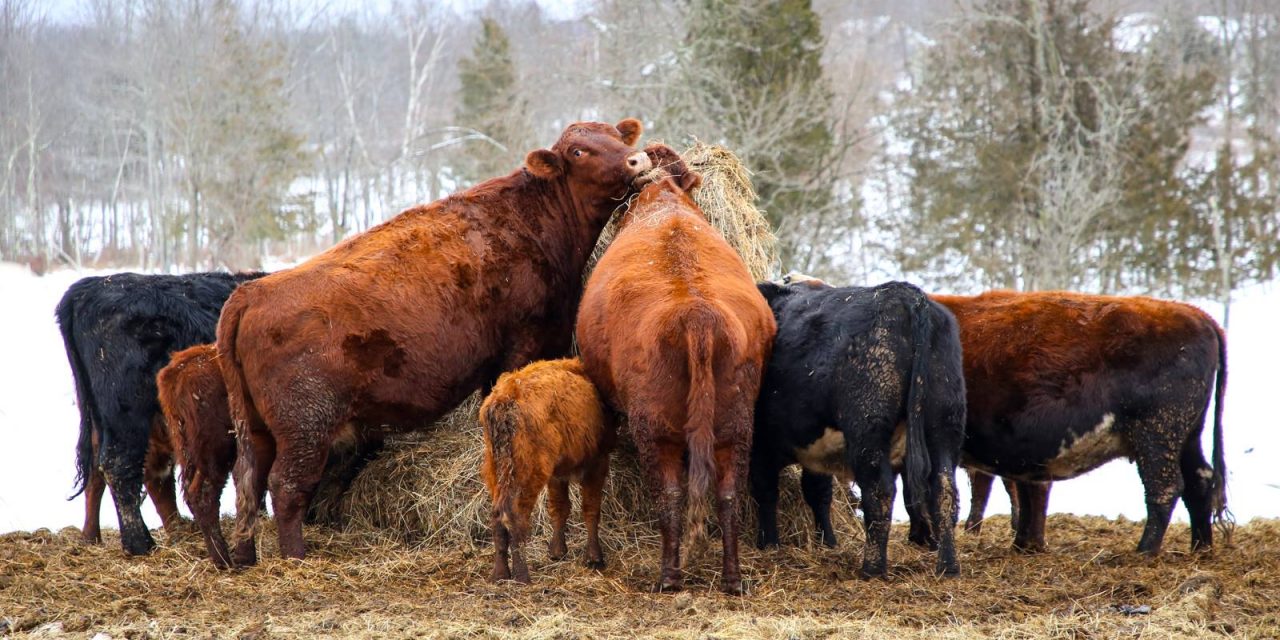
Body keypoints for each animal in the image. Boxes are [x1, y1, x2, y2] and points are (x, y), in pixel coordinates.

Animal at [57, 271, 262, 555]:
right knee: (119, 467)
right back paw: (140, 544)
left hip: (101, 418)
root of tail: (91, 286)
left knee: (101, 472)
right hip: (127, 415)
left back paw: (92, 537)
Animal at [481, 358, 616, 583]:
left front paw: (557, 551)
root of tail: (504, 400)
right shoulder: (597, 462)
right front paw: (594, 558)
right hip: (527, 473)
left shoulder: (557, 474)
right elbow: (590, 508)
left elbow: (559, 507)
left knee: (497, 516)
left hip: (496, 469)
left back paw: (499, 574)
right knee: (515, 514)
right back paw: (522, 576)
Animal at [576, 149, 773, 593]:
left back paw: (669, 575)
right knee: (728, 495)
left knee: (670, 495)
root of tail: (697, 315)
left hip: (655, 430)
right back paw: (732, 578)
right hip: (736, 427)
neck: (664, 199)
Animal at [747, 280, 962, 581]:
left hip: (868, 432)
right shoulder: (816, 449)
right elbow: (818, 492)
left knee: (879, 492)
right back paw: (948, 566)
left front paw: (768, 543)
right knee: (944, 492)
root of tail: (906, 295)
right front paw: (827, 542)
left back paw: (872, 568)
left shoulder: (761, 443)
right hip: (944, 427)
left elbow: (766, 491)